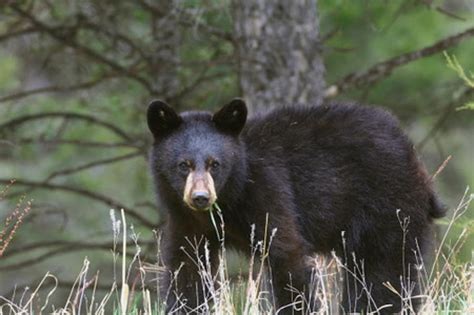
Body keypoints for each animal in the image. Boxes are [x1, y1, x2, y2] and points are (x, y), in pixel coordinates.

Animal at [146, 98, 446, 314]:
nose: (200, 197)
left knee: (382, 271)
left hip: (386, 205)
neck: (231, 198)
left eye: (214, 164)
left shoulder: (269, 192)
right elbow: (188, 269)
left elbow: (287, 258)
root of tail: (412, 154)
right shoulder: (187, 221)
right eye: (183, 164)